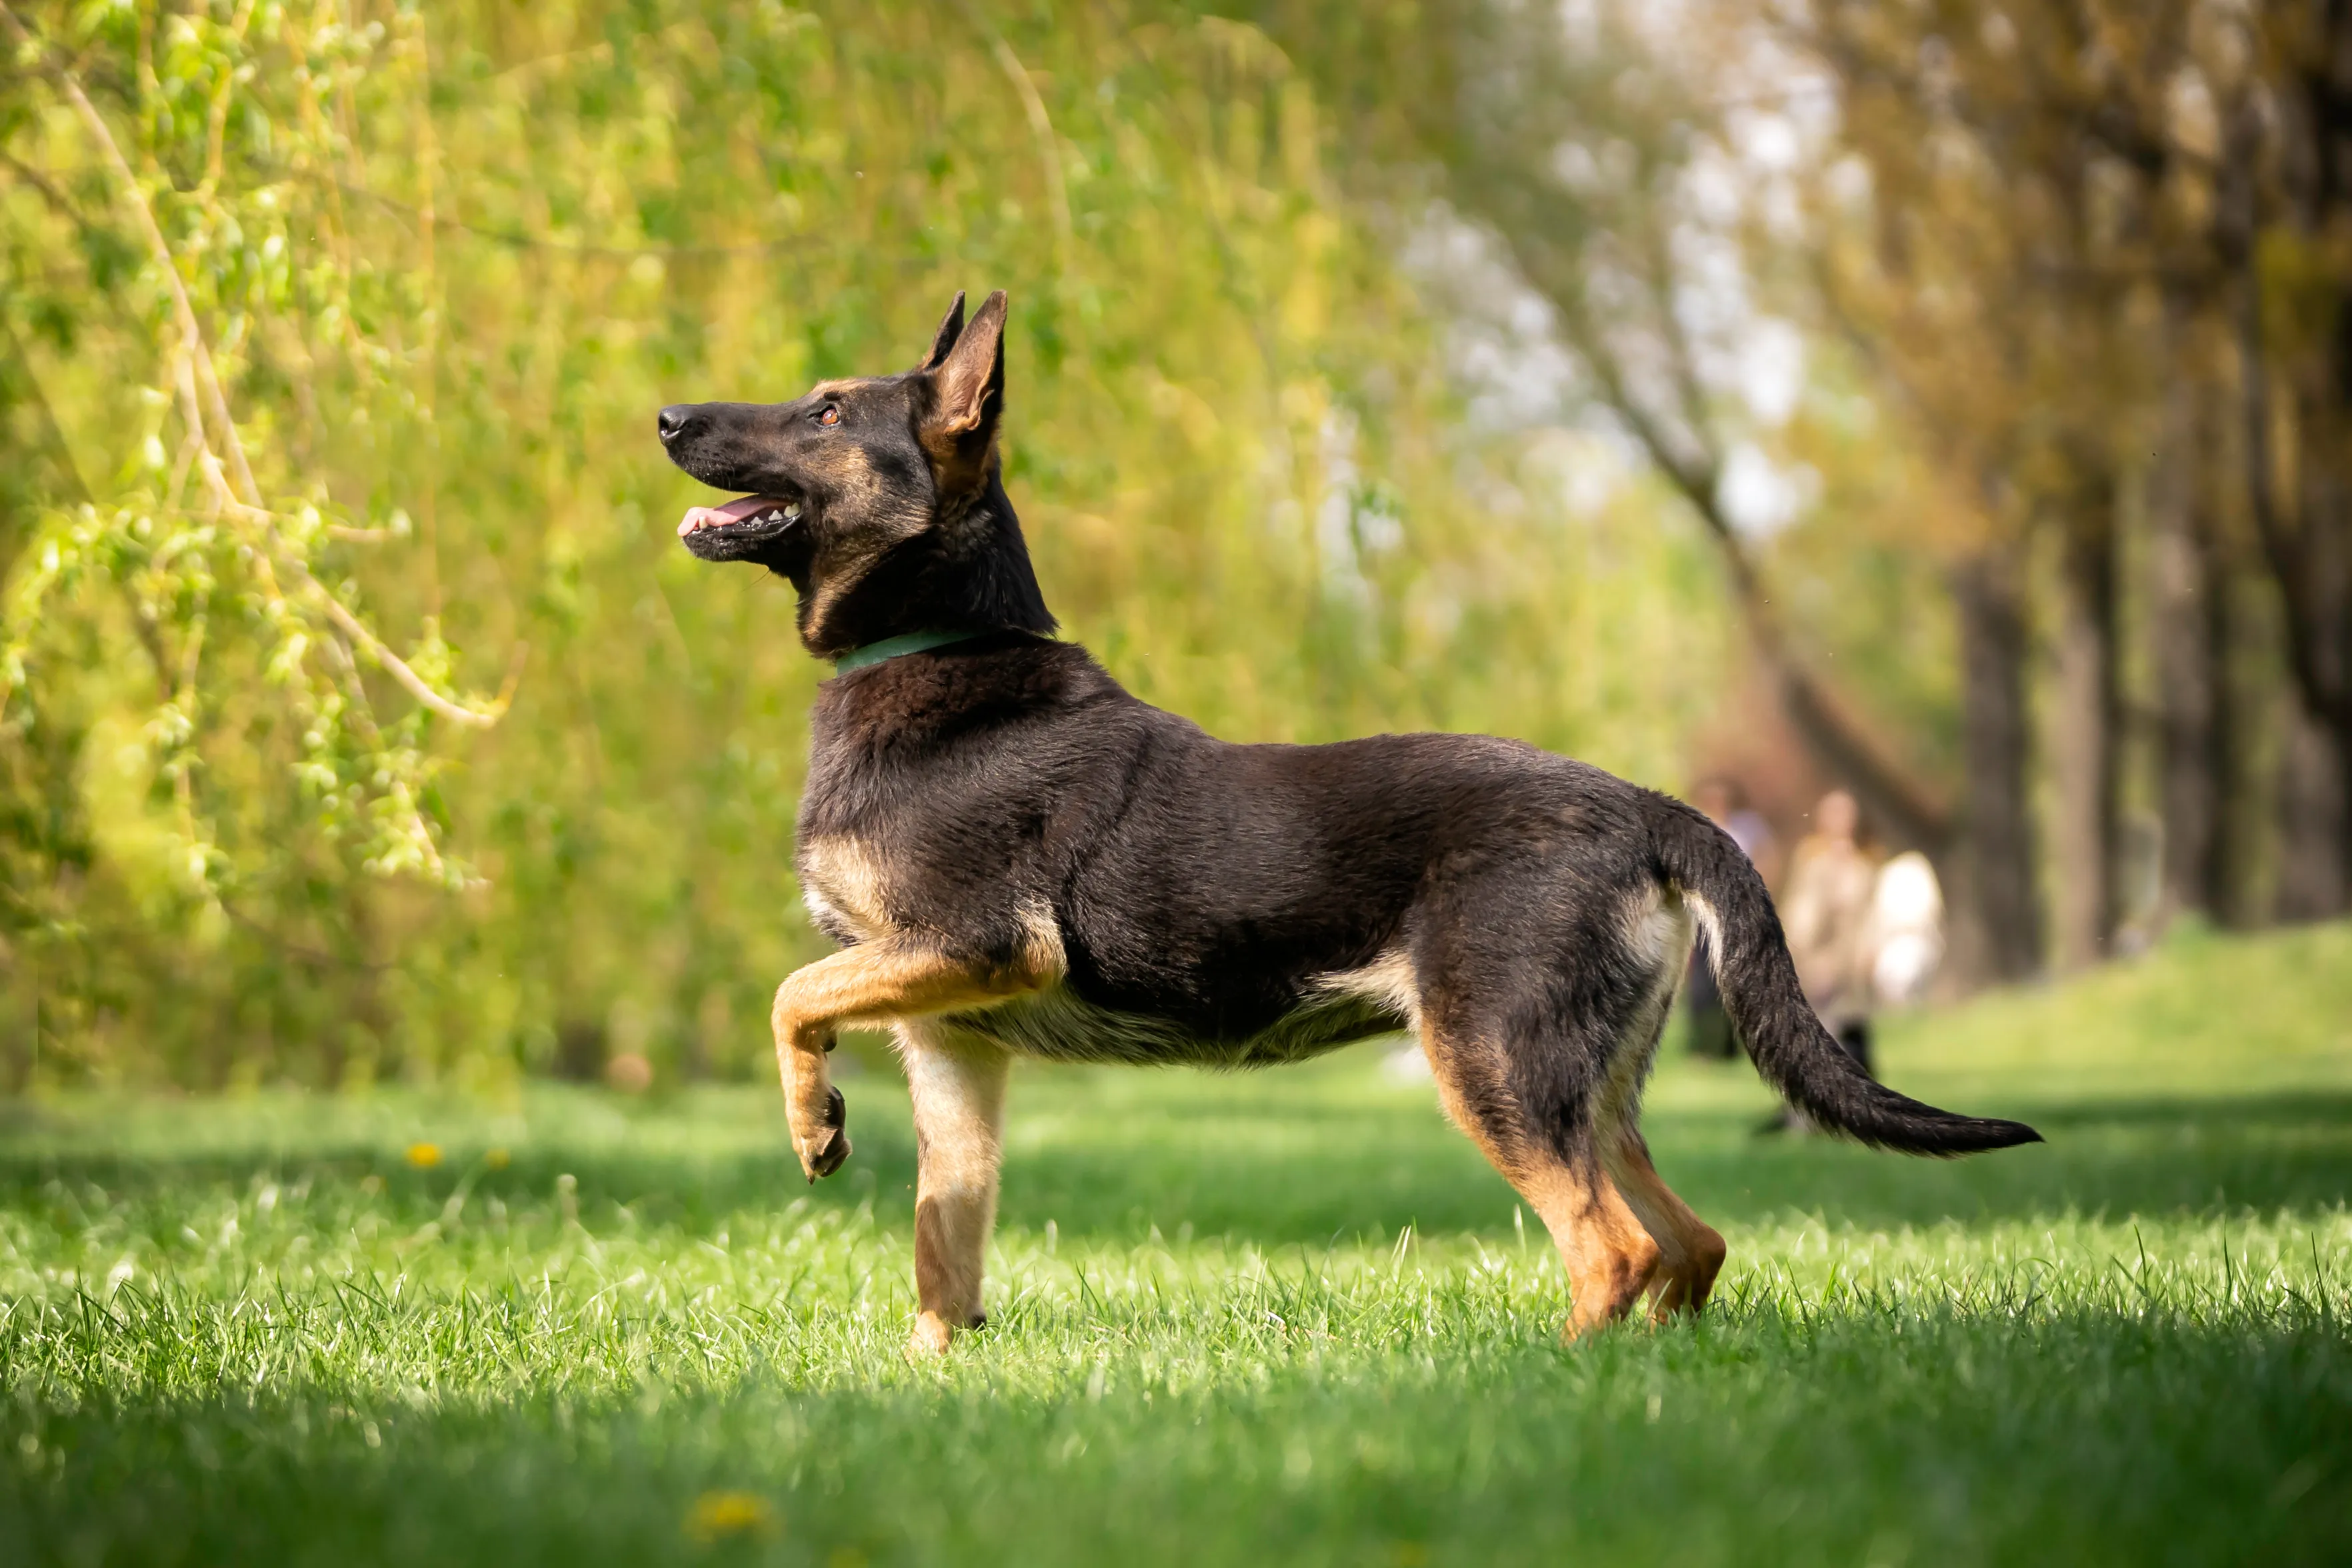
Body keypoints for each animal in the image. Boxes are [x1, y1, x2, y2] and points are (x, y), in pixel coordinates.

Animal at [658, 287, 2041, 1354]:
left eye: (826, 411)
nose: (666, 416)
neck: (931, 642)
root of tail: (1645, 808)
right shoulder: (953, 1041)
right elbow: (942, 1242)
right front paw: (929, 1371)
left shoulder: (979, 948)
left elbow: (789, 995)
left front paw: (813, 1125)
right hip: (1581, 1081)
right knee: (1689, 1240)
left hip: (1489, 1063)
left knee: (1608, 1246)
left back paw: (1548, 1376)